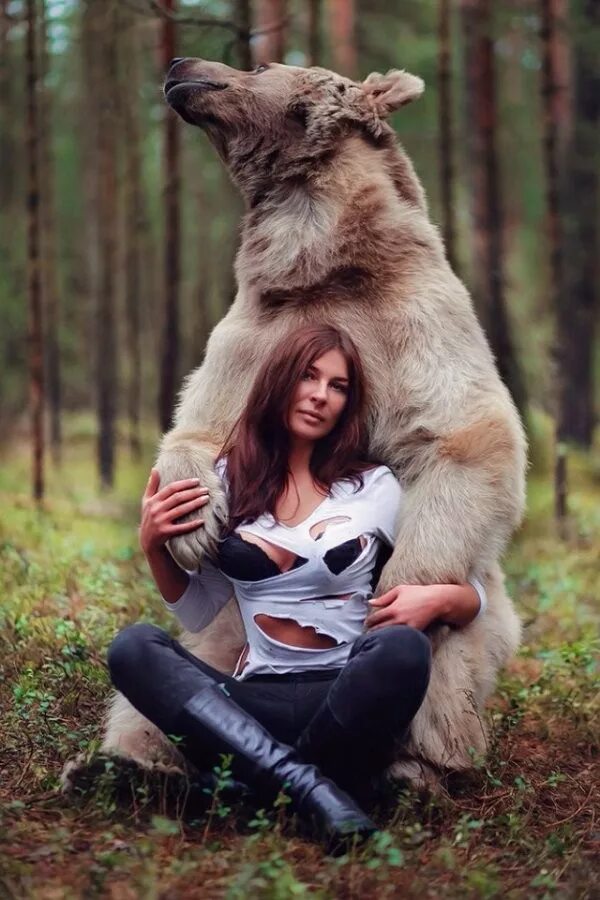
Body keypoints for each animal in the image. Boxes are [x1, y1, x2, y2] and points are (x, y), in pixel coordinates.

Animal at [65, 59, 526, 794]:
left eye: (259, 65)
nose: (180, 67)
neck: (319, 257)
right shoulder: (255, 332)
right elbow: (199, 428)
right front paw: (190, 526)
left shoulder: (416, 319)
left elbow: (465, 434)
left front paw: (391, 594)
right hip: (222, 641)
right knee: (158, 691)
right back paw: (121, 766)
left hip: (476, 638)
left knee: (447, 662)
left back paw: (415, 770)